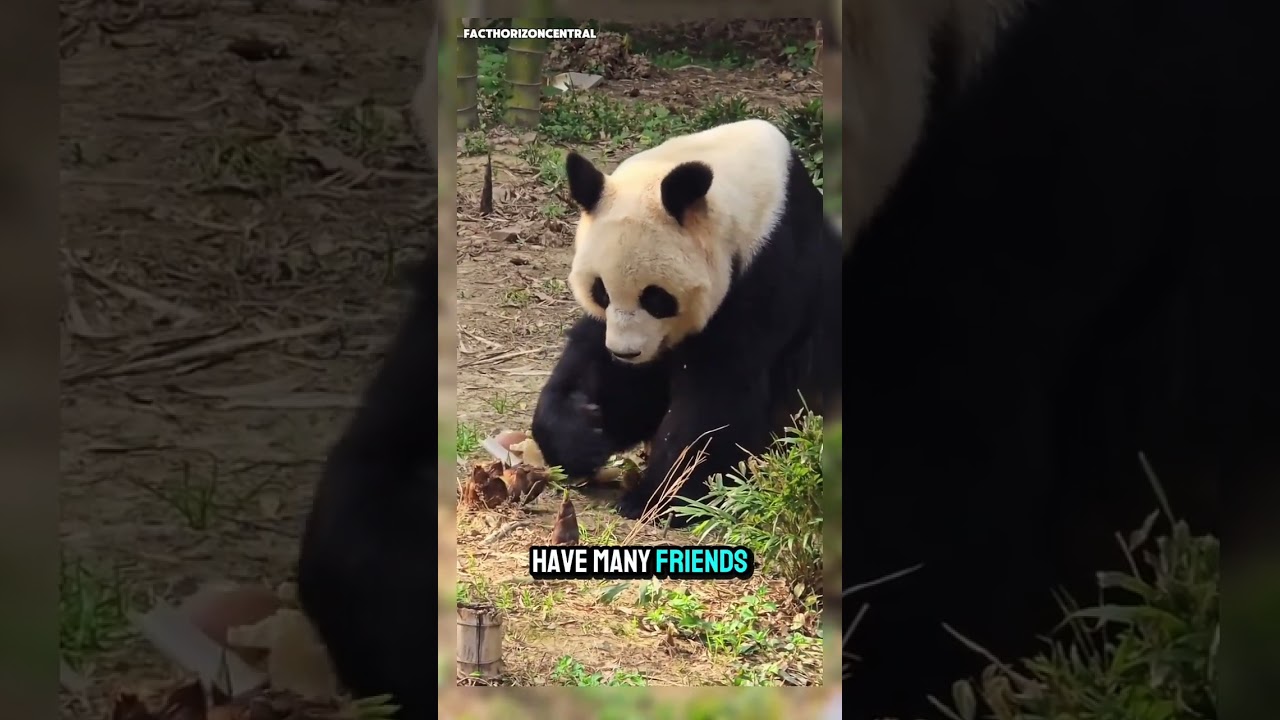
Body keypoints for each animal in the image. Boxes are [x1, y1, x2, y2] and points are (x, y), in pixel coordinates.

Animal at [531, 118, 842, 525]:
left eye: (656, 298)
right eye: (601, 291)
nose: (627, 353)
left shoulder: (769, 274)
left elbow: (717, 396)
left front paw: (657, 497)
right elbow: (614, 375)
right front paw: (584, 434)